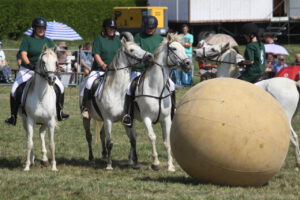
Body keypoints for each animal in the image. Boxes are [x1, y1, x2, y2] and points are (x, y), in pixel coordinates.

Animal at [79, 36, 154, 170]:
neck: (116, 91)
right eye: (131, 50)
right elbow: (110, 143)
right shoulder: (108, 120)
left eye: (139, 47)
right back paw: (92, 159)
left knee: (102, 134)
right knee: (89, 136)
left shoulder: (127, 120)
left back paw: (104, 156)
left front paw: (135, 163)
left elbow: (133, 140)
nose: (150, 56)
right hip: (87, 118)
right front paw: (109, 165)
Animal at [132, 33, 191, 171]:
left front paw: (170, 166)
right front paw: (156, 163)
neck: (156, 89)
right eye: (174, 49)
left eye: (184, 48)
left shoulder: (166, 118)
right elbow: (152, 137)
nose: (187, 64)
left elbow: (167, 141)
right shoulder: (146, 118)